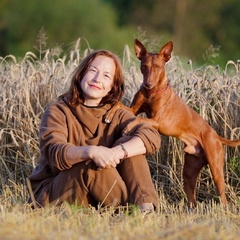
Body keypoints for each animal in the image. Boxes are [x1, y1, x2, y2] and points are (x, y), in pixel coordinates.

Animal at [106, 38, 240, 207]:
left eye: (158, 67)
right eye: (144, 67)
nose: (148, 84)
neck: (152, 93)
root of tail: (216, 136)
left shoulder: (158, 122)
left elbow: (139, 119)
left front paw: (129, 127)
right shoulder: (133, 109)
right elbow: (119, 105)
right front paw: (109, 113)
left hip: (215, 168)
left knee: (222, 196)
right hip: (189, 171)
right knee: (191, 196)